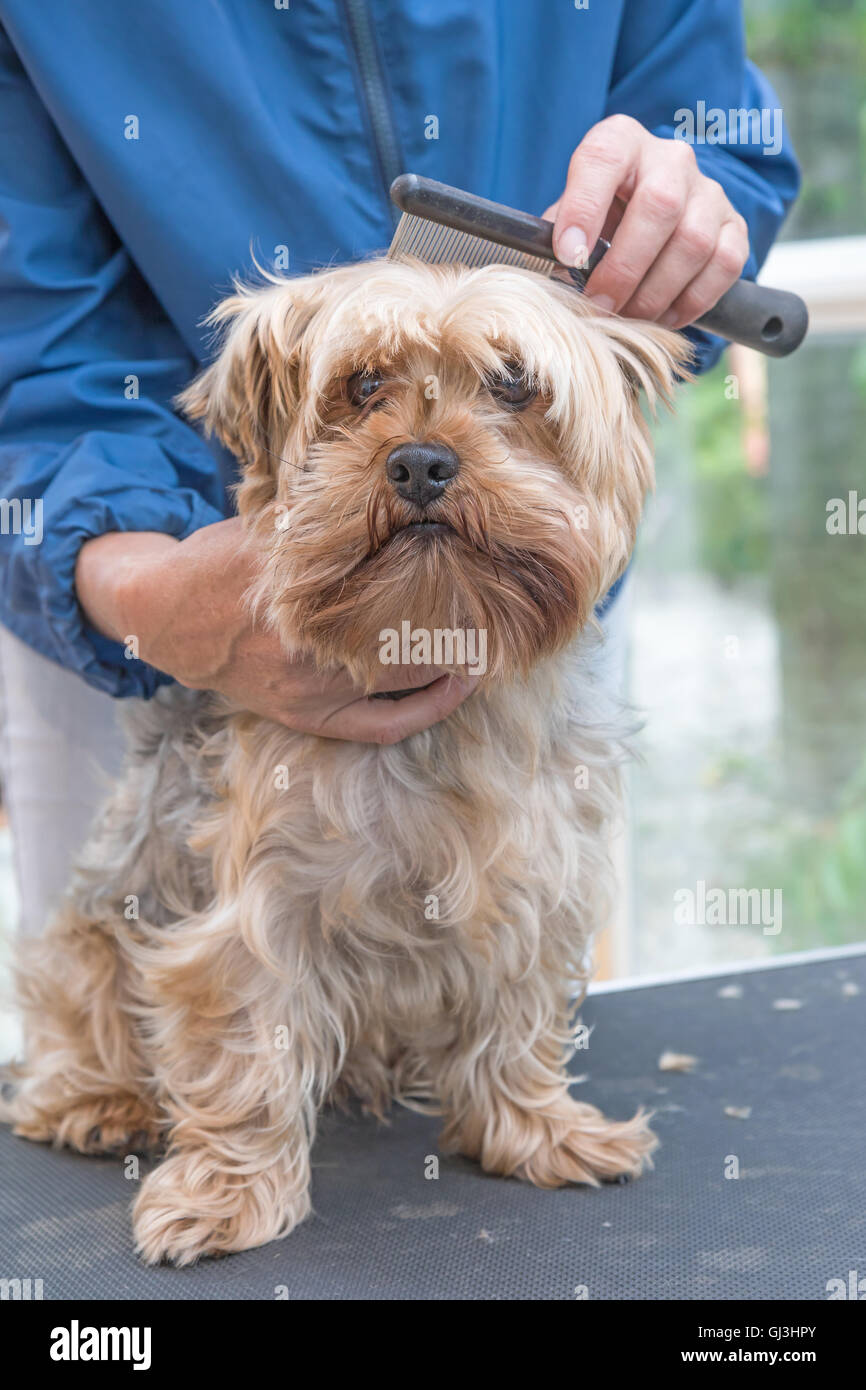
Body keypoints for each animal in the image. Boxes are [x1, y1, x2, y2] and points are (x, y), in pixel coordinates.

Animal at [6, 255, 686, 1267]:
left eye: (513, 384)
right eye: (362, 387)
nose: (420, 461)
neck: (424, 634)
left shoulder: (532, 873)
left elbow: (518, 1014)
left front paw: (536, 1132)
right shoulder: (259, 904)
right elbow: (245, 1039)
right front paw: (224, 1198)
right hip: (94, 929)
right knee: (74, 1020)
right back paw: (100, 1101)